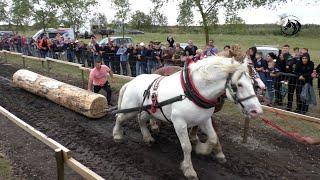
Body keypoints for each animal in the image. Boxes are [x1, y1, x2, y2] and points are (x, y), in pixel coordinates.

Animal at [112, 56, 262, 179]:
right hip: (130, 108)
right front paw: (189, 170)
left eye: (252, 84)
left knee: (141, 120)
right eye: (239, 85)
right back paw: (117, 135)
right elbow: (186, 147)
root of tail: (131, 82)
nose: (257, 111)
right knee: (120, 118)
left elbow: (213, 138)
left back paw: (148, 137)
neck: (190, 93)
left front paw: (203, 149)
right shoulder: (179, 123)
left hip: (148, 111)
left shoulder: (204, 120)